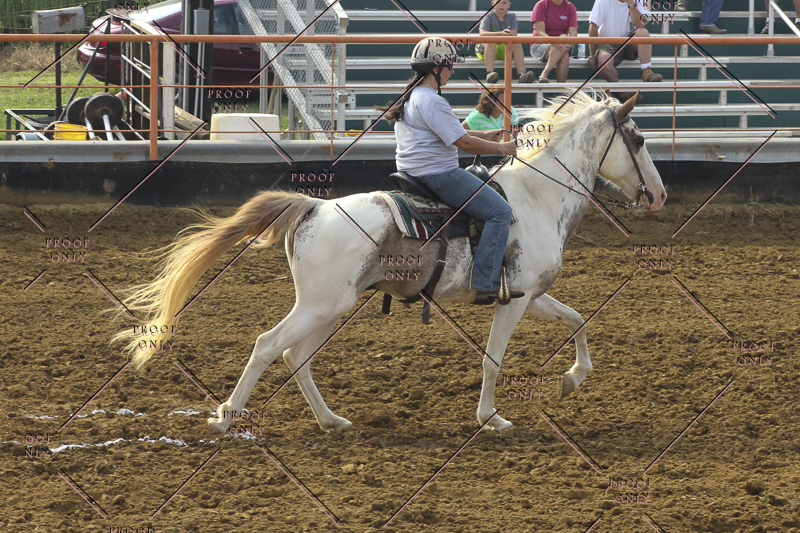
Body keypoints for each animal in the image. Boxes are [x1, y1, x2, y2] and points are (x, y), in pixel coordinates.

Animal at [112, 90, 667, 434]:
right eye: (639, 140)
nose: (659, 195)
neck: (536, 197)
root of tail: (312, 206)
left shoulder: (531, 295)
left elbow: (578, 320)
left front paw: (573, 378)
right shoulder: (512, 301)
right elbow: (493, 360)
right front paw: (491, 418)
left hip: (331, 307)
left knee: (296, 357)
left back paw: (330, 421)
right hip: (319, 305)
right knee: (270, 346)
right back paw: (227, 417)